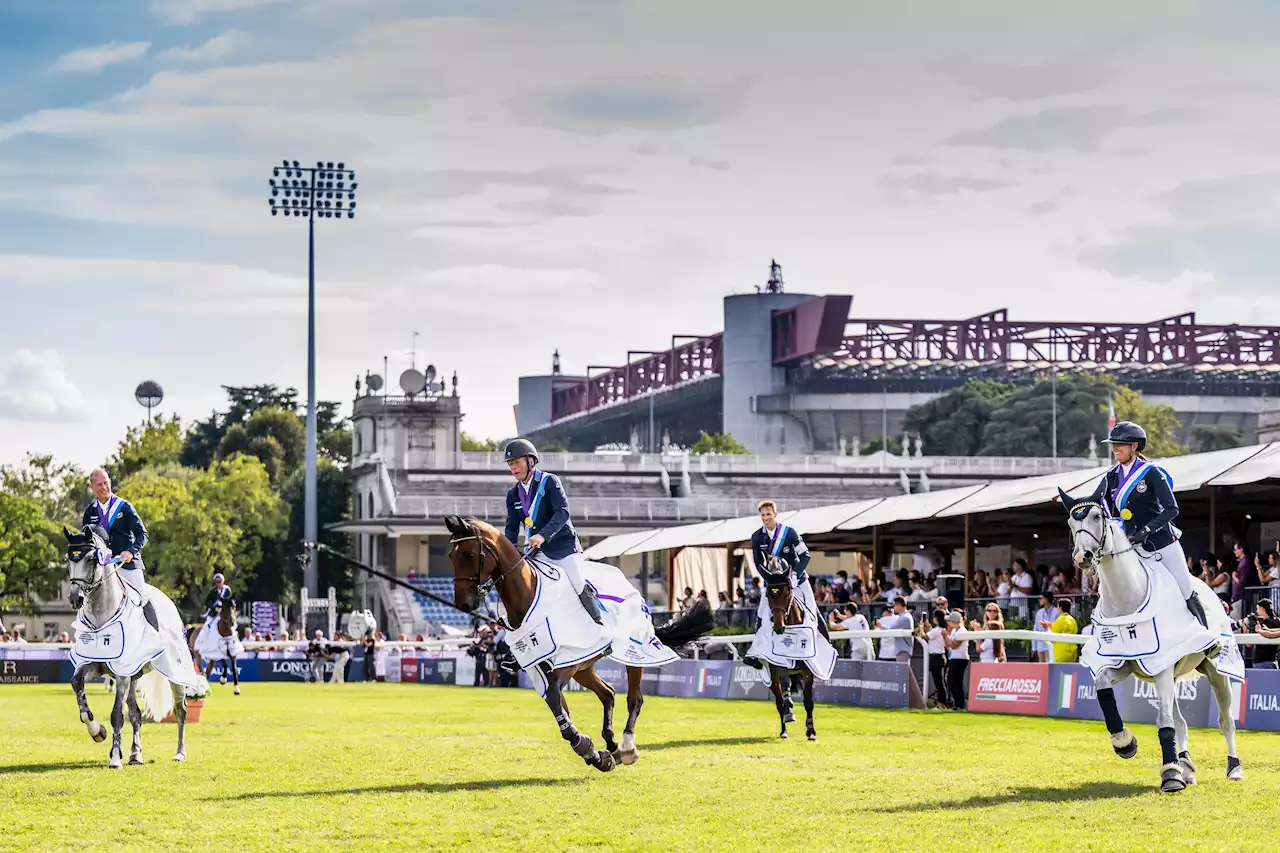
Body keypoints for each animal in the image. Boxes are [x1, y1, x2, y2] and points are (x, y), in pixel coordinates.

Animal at [64, 522, 198, 768]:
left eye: (92, 559)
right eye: (69, 559)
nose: (75, 598)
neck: (101, 615)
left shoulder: (122, 674)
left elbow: (117, 715)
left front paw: (115, 759)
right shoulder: (95, 666)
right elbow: (79, 689)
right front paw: (98, 732)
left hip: (174, 672)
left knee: (181, 710)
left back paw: (180, 753)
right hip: (134, 675)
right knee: (135, 713)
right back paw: (135, 754)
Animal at [445, 512, 716, 768]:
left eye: (469, 554)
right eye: (450, 555)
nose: (463, 604)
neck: (528, 596)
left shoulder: (568, 660)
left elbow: (555, 699)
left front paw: (583, 744)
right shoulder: (541, 667)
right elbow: (558, 705)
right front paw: (593, 753)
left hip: (631, 652)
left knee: (634, 698)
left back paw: (627, 747)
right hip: (585, 666)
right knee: (608, 694)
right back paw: (612, 745)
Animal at [752, 555, 814, 742]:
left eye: (787, 594)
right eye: (768, 595)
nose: (778, 627)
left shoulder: (808, 670)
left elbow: (808, 701)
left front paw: (811, 732)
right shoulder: (779, 664)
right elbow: (785, 686)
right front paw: (790, 711)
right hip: (772, 676)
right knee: (779, 701)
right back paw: (784, 728)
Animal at [1054, 491, 1244, 788]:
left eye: (1097, 516)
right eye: (1071, 523)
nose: (1083, 556)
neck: (1126, 602)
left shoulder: (1162, 667)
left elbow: (1163, 719)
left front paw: (1170, 775)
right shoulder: (1125, 664)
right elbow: (1103, 687)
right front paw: (1125, 743)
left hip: (1215, 671)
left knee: (1225, 721)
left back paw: (1233, 769)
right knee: (1182, 722)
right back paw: (1186, 766)